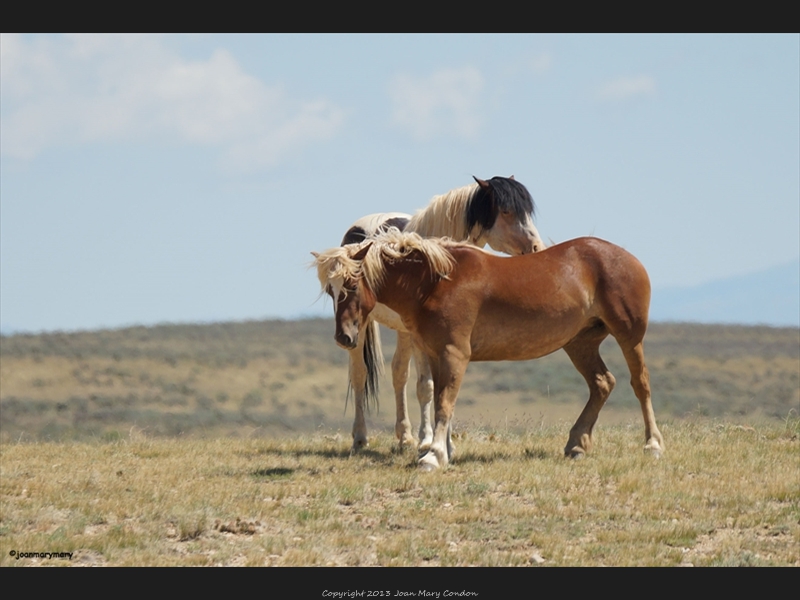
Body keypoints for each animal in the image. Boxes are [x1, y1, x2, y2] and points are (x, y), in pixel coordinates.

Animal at [316, 230, 664, 468]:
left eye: (352, 284)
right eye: (330, 291)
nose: (344, 337)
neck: (434, 283)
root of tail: (631, 259)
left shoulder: (454, 353)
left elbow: (444, 404)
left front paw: (434, 455)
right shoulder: (434, 354)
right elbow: (440, 399)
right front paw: (443, 451)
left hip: (628, 335)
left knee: (640, 384)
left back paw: (653, 444)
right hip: (580, 343)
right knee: (602, 383)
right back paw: (577, 443)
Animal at [332, 176, 544, 452]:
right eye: (507, 211)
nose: (537, 247)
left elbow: (444, 385)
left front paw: (444, 443)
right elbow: (427, 386)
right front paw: (427, 440)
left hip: (403, 331)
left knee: (399, 373)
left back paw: (404, 436)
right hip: (362, 326)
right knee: (359, 375)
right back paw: (360, 438)